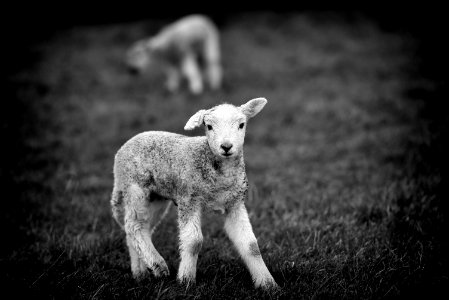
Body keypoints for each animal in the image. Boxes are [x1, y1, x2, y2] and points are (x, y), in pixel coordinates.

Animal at [110, 97, 276, 290]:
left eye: (242, 125)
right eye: (209, 126)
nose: (226, 146)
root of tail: (123, 148)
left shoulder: (235, 204)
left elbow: (251, 245)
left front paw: (268, 284)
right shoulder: (189, 199)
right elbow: (194, 242)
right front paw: (186, 280)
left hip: (156, 197)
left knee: (142, 228)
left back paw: (141, 272)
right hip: (134, 187)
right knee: (134, 226)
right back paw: (158, 266)